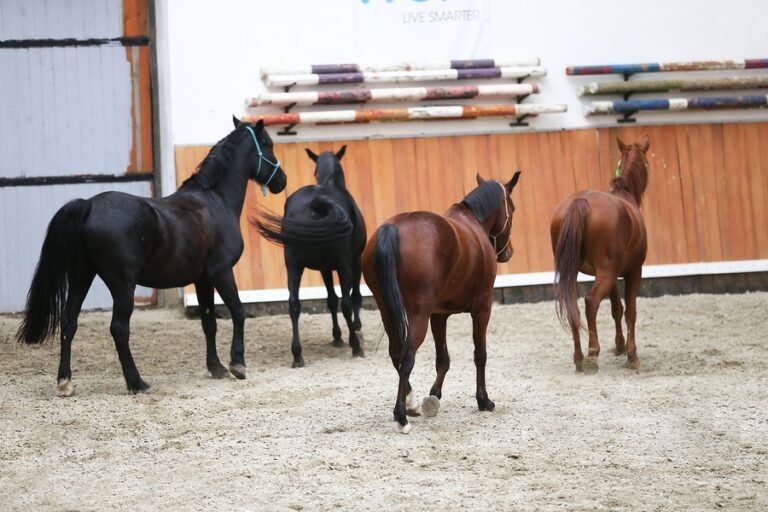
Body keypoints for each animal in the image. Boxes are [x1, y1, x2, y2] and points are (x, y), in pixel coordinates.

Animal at [16, 117, 287, 396]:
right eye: (267, 144)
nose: (282, 181)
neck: (215, 201)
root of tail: (89, 205)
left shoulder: (202, 279)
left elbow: (208, 322)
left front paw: (217, 368)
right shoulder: (221, 272)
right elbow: (238, 312)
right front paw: (237, 364)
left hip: (82, 276)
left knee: (69, 321)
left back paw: (65, 382)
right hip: (122, 285)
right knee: (119, 328)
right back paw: (137, 383)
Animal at [255, 146, 366, 367]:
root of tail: (316, 205)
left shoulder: (324, 268)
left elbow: (330, 299)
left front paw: (337, 336)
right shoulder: (353, 260)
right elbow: (354, 297)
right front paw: (354, 330)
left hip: (294, 266)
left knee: (294, 304)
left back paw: (297, 355)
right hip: (344, 266)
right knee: (347, 302)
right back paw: (356, 346)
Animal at [362, 171, 521, 433]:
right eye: (513, 208)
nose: (508, 252)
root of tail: (393, 228)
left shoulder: (438, 315)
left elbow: (443, 359)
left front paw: (434, 395)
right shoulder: (482, 308)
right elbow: (480, 354)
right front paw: (483, 399)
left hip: (388, 310)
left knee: (396, 354)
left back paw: (411, 404)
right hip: (418, 315)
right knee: (407, 357)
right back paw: (401, 416)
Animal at [550, 136, 650, 374]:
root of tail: (579, 202)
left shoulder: (610, 276)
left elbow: (616, 309)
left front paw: (620, 346)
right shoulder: (633, 272)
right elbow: (630, 312)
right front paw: (631, 355)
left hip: (573, 273)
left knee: (574, 309)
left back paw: (579, 357)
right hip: (607, 273)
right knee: (591, 302)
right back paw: (592, 354)